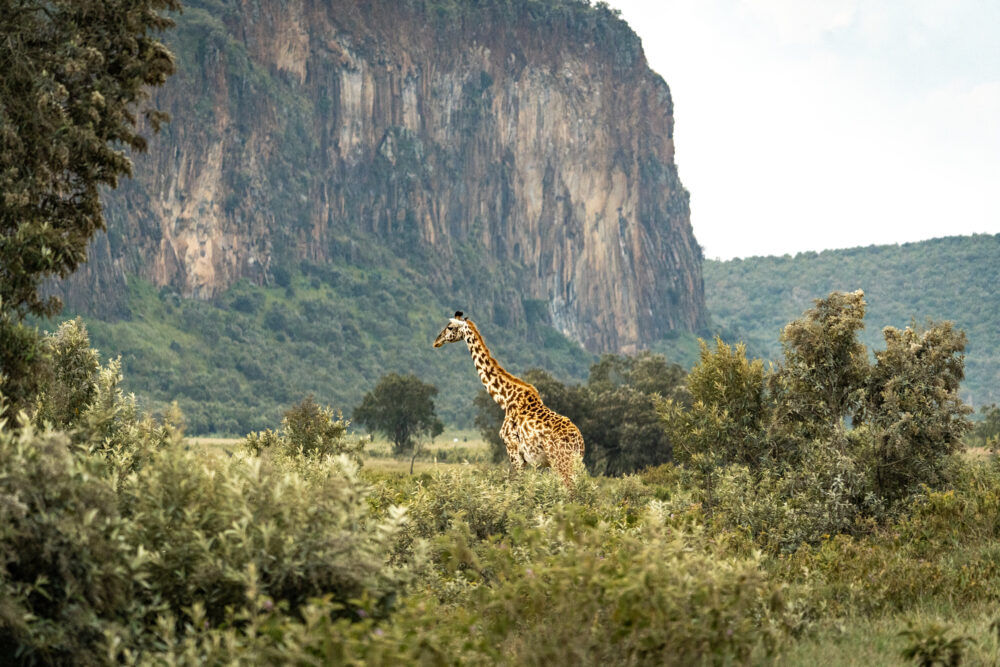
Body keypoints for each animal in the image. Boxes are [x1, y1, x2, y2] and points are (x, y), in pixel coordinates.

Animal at [433, 311, 584, 486]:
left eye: (450, 327)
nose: (436, 341)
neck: (505, 399)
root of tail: (579, 443)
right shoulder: (524, 458)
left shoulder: (513, 451)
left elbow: (518, 486)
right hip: (572, 463)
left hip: (560, 461)